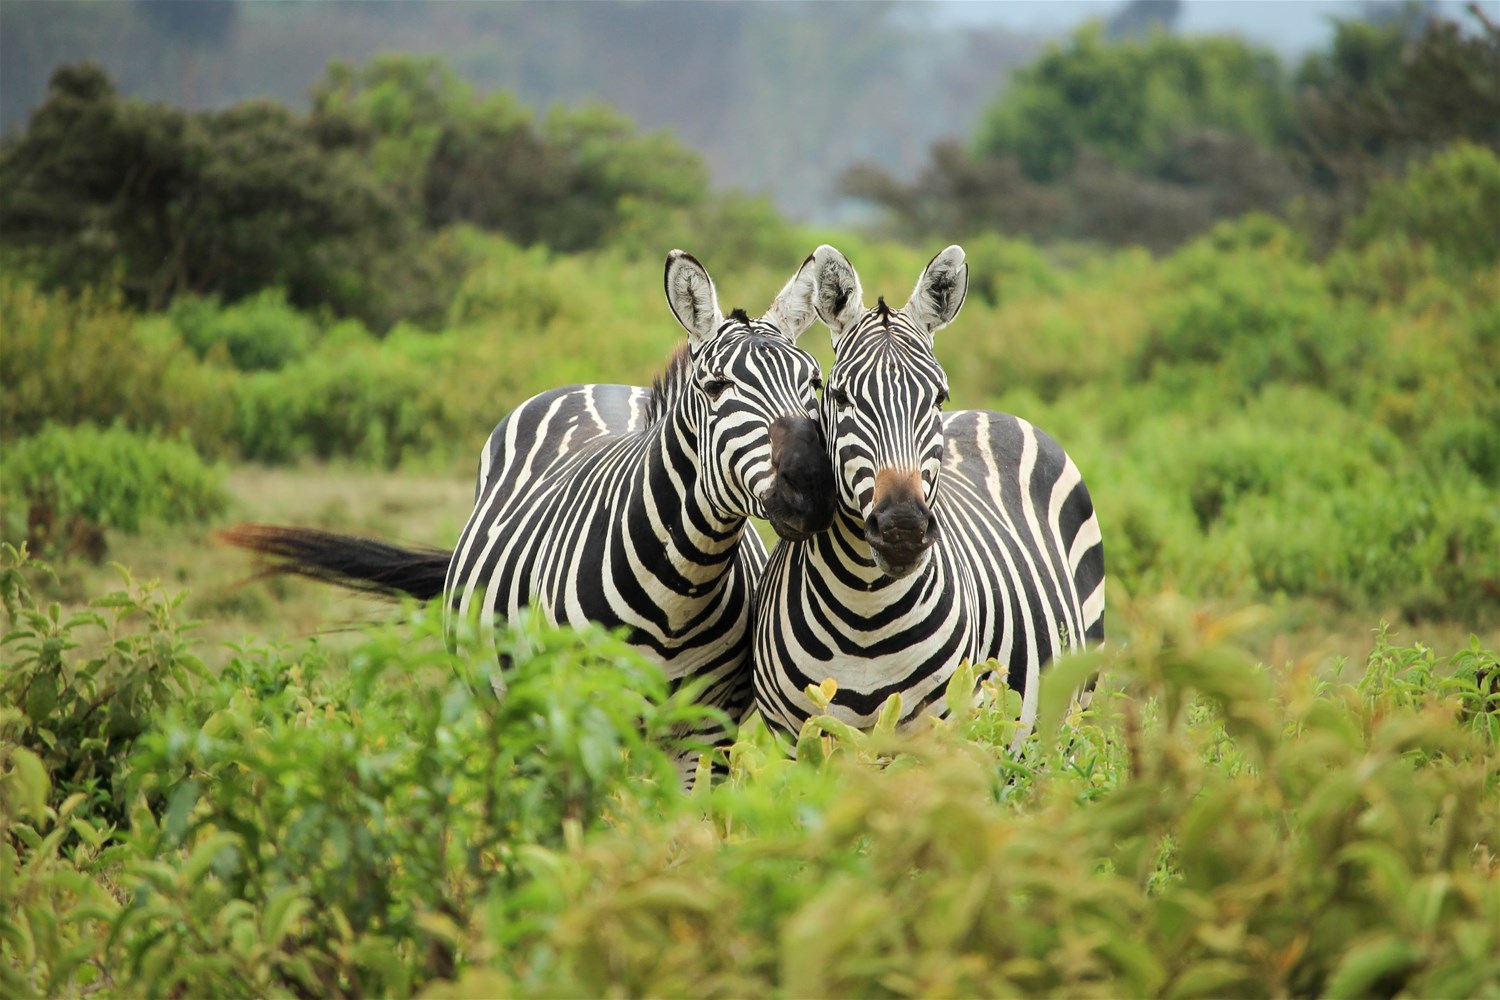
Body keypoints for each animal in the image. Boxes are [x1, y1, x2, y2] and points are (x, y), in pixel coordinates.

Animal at [225, 248, 834, 758]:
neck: (680, 590)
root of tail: (597, 386)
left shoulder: (708, 732)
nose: (810, 488)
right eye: (715, 388)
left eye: (815, 384)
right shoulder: (580, 715)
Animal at [756, 244, 1098, 743]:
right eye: (840, 397)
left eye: (938, 398)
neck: (865, 611)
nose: (902, 528)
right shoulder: (796, 739)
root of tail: (991, 413)